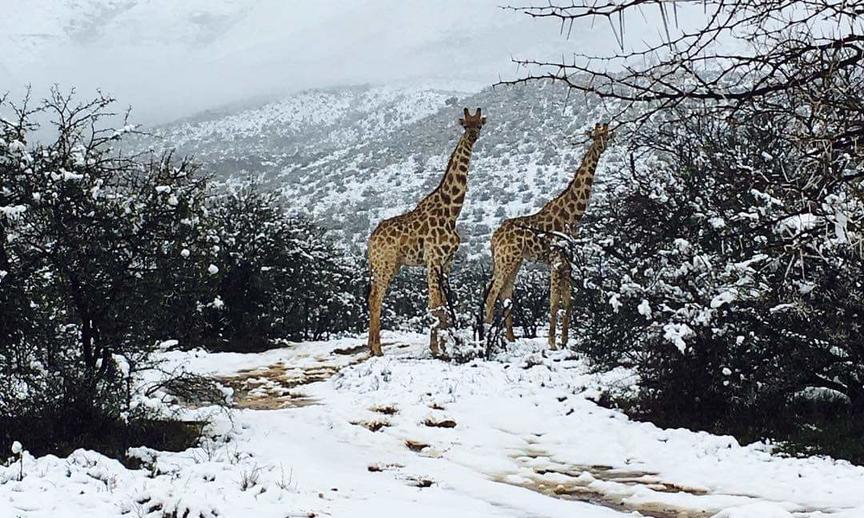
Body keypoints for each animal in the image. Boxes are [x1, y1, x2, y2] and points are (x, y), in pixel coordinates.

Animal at [364, 105, 486, 358]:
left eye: (479, 124)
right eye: (465, 125)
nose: (472, 136)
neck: (451, 212)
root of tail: (370, 240)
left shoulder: (447, 262)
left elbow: (443, 306)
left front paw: (447, 347)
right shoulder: (433, 259)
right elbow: (434, 305)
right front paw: (436, 349)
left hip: (389, 265)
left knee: (372, 297)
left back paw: (371, 346)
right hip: (385, 264)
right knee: (376, 298)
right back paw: (377, 349)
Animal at [482, 123, 612, 350]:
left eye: (606, 133)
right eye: (595, 135)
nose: (602, 145)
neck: (572, 215)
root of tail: (494, 238)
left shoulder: (567, 262)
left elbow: (568, 300)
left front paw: (564, 340)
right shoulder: (556, 259)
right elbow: (554, 301)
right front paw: (552, 342)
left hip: (514, 261)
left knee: (506, 294)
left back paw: (510, 338)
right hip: (505, 259)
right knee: (492, 295)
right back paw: (488, 340)